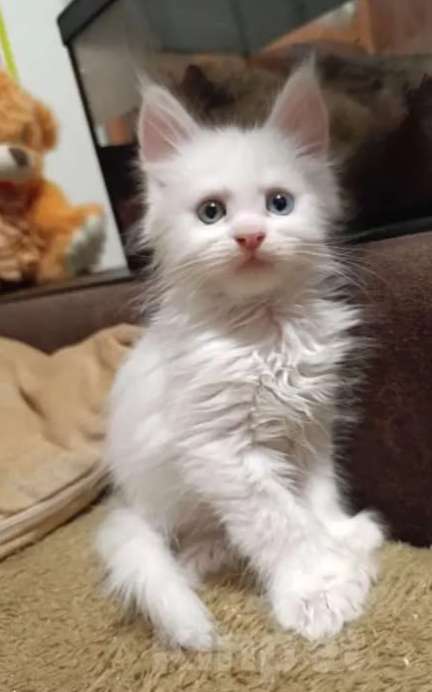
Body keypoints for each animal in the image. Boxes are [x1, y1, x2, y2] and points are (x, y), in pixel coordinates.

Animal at [96, 63, 384, 650]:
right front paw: (316, 588)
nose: (250, 236)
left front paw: (339, 539)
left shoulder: (309, 426)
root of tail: (130, 501)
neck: (265, 334)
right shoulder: (223, 451)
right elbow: (279, 523)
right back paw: (205, 554)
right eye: (212, 212)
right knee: (190, 540)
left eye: (279, 203)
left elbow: (314, 498)